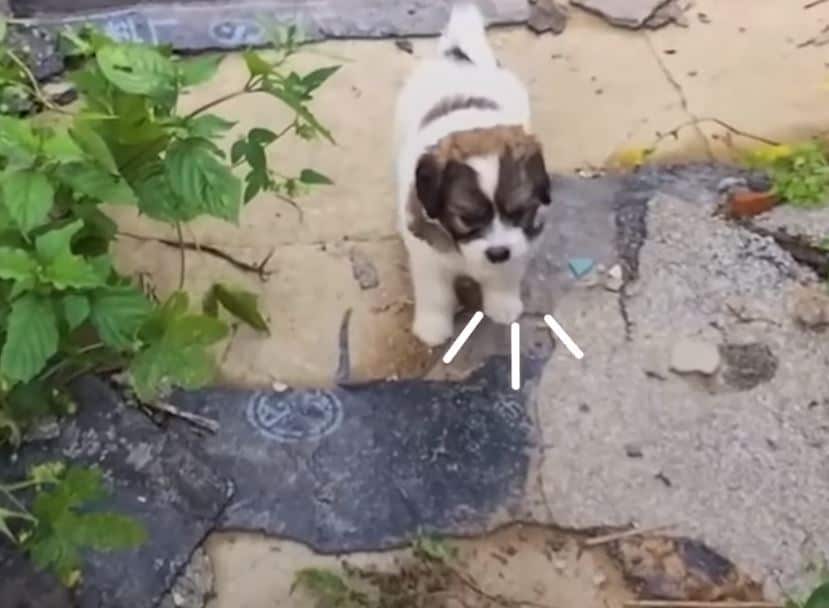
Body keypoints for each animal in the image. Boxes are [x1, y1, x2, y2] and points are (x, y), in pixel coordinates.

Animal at [392, 1, 548, 346]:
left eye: (519, 212)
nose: (497, 252)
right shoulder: (427, 255)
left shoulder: (520, 242)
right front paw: (433, 326)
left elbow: (505, 274)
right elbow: (434, 293)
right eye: (466, 217)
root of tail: (460, 58)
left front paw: (502, 304)